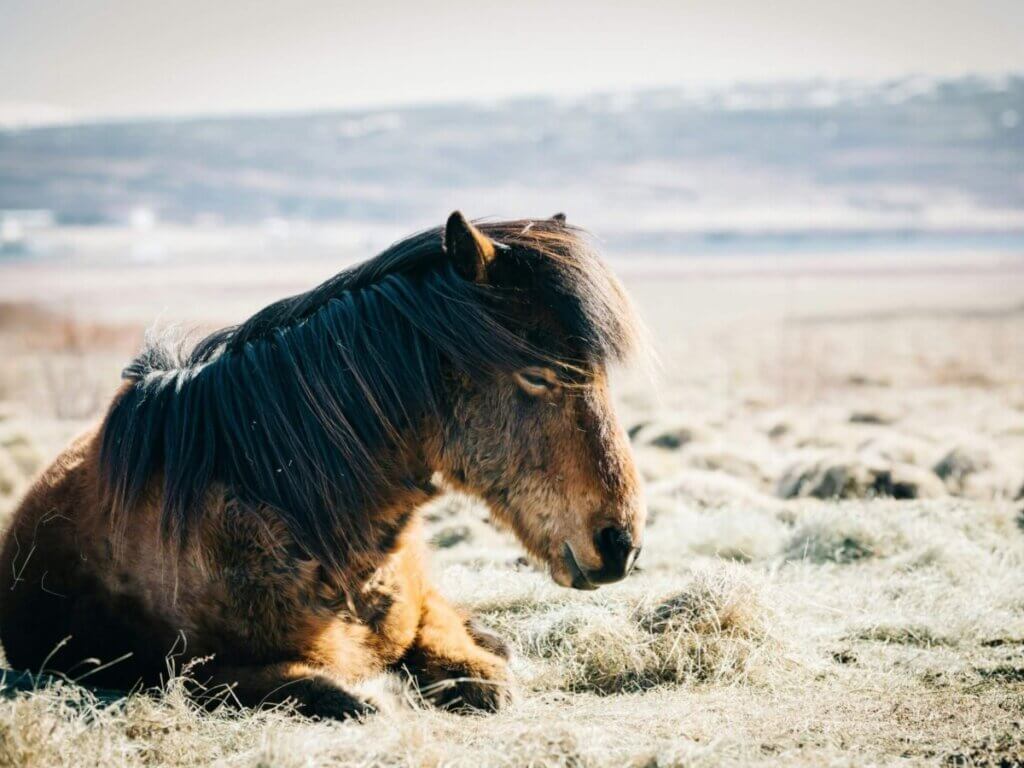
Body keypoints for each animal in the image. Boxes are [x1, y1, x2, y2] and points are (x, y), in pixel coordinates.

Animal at [0, 212, 646, 718]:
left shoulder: (423, 614)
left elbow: (480, 670)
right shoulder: (193, 673)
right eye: (537, 374)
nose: (619, 543)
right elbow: (339, 694)